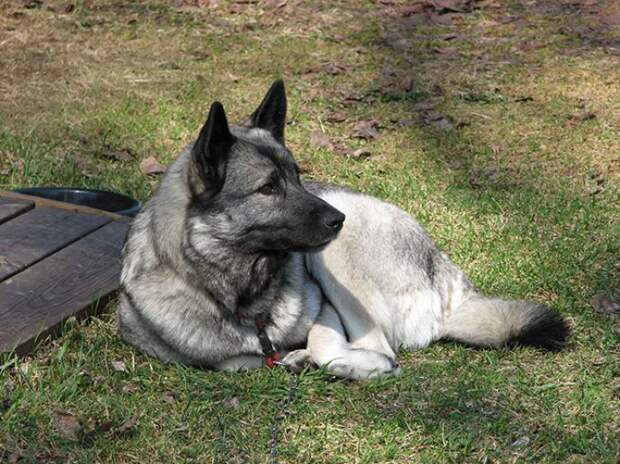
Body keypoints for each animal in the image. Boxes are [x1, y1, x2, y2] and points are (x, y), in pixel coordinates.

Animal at [118, 79, 568, 376]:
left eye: (298, 176)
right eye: (269, 188)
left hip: (334, 258)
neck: (246, 299)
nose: (337, 219)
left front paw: (344, 361)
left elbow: (327, 345)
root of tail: (448, 279)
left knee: (380, 347)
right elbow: (244, 361)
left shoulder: (326, 308)